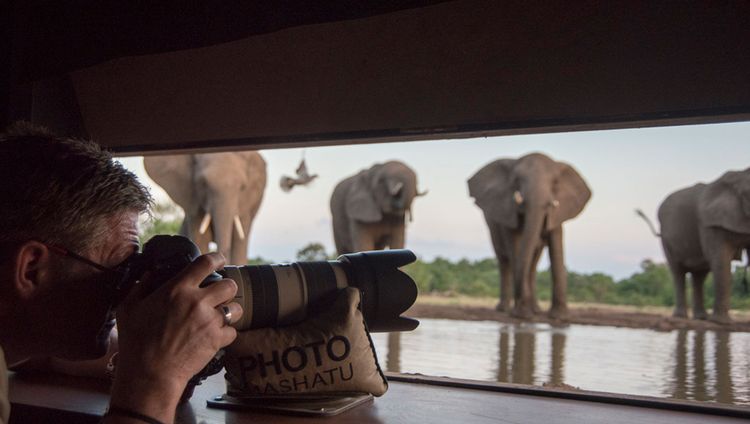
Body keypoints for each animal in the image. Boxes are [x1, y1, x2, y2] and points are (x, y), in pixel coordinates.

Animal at [470, 154, 592, 320]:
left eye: (555, 182)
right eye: (516, 180)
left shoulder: (558, 212)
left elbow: (556, 246)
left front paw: (560, 317)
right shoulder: (507, 211)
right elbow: (515, 246)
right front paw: (522, 314)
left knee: (533, 264)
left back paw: (535, 309)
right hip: (492, 228)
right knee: (504, 260)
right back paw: (505, 309)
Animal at [640, 167, 750, 322]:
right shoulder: (708, 223)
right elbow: (721, 260)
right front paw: (720, 323)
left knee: (700, 275)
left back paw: (701, 318)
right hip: (666, 238)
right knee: (678, 271)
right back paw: (682, 317)